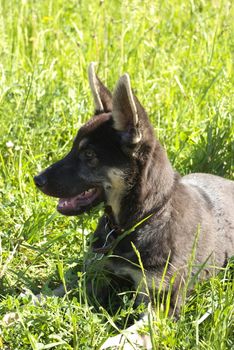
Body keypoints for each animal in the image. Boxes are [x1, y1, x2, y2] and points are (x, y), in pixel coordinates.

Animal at [34, 63, 234, 350]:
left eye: (89, 155)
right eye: (73, 148)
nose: (37, 180)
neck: (138, 222)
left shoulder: (163, 304)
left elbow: (128, 335)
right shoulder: (96, 274)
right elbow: (52, 292)